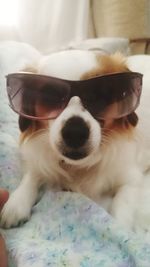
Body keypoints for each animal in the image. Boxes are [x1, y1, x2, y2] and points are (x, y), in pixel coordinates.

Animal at [1, 50, 150, 230]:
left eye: (101, 94)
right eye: (50, 95)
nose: (75, 132)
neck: (78, 168)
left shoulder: (131, 179)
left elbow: (121, 212)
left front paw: (118, 228)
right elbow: (33, 174)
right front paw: (17, 201)